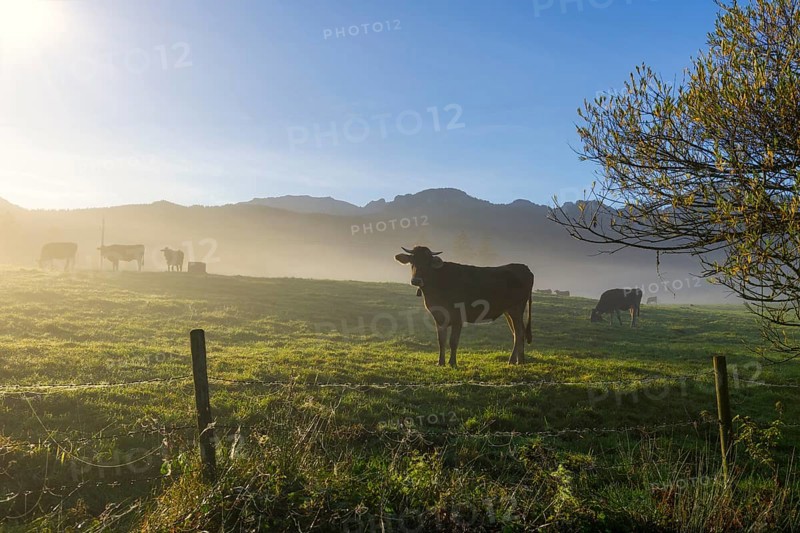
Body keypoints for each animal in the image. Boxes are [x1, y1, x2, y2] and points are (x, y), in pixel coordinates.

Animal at [395, 246, 534, 366]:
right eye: (412, 261)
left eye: (428, 262)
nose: (416, 280)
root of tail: (524, 267)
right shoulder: (439, 317)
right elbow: (441, 341)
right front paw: (440, 362)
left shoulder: (458, 317)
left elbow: (453, 341)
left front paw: (452, 363)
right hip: (508, 311)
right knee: (517, 333)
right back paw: (520, 360)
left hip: (516, 308)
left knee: (519, 333)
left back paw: (513, 360)